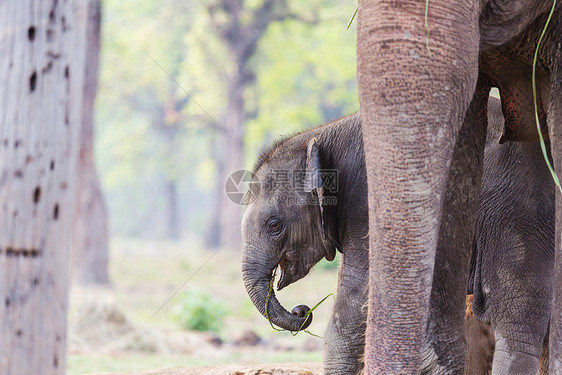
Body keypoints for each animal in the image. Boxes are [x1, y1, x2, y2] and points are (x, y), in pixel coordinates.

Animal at [241, 95, 552, 374]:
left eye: (274, 225)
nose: (301, 311)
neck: (320, 136)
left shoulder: (371, 206)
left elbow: (359, 293)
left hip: (517, 217)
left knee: (515, 323)